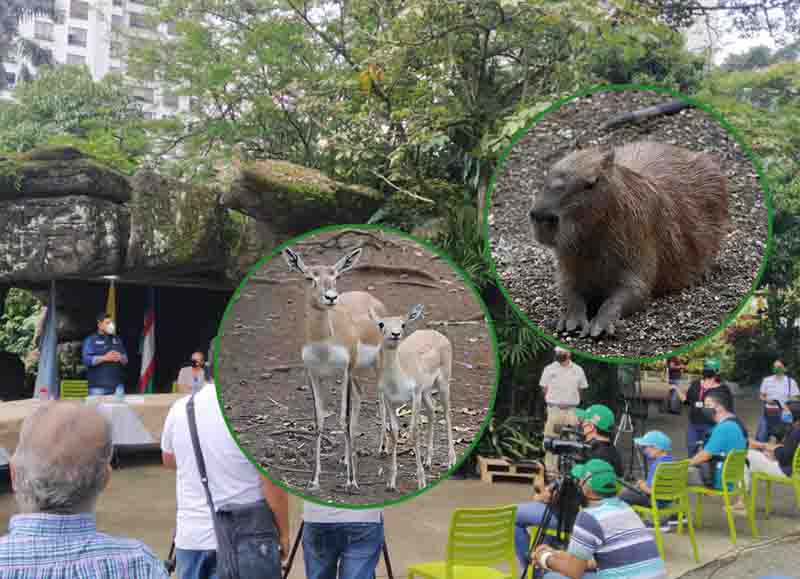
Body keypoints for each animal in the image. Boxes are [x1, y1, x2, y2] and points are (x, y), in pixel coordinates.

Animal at [282, 246, 386, 492]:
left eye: (336, 276)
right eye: (309, 277)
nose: (330, 297)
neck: (324, 344)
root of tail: (372, 299)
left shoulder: (344, 371)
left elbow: (343, 420)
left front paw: (352, 481)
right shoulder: (314, 375)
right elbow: (319, 421)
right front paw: (314, 480)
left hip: (377, 364)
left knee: (382, 399)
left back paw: (382, 450)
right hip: (356, 373)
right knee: (360, 396)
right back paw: (347, 458)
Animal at [371, 304, 456, 490]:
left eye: (403, 324)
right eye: (381, 324)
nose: (395, 334)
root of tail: (439, 335)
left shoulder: (415, 395)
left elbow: (414, 432)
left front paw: (422, 482)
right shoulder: (389, 400)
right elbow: (395, 433)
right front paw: (391, 482)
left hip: (443, 382)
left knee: (447, 413)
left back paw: (451, 461)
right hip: (426, 391)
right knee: (432, 410)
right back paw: (428, 460)